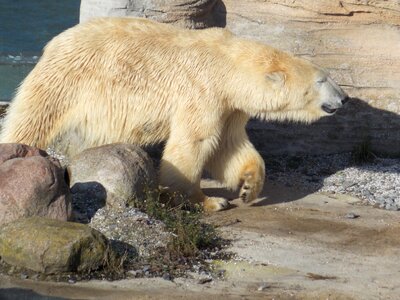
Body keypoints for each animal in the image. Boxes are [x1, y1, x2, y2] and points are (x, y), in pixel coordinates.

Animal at [0, 17, 348, 212]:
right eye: (323, 80)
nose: (344, 98)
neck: (228, 64)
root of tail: (54, 42)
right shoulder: (203, 90)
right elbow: (194, 143)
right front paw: (209, 201)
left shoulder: (229, 105)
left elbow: (229, 146)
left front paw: (249, 188)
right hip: (68, 79)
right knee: (33, 116)